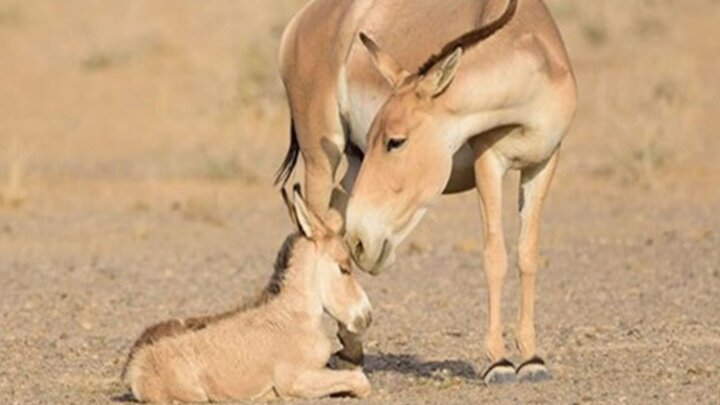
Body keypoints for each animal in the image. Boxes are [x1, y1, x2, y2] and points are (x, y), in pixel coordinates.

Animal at [122, 189, 372, 400]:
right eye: (344, 268)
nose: (367, 316)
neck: (293, 314)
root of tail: (134, 364)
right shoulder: (294, 380)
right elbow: (360, 380)